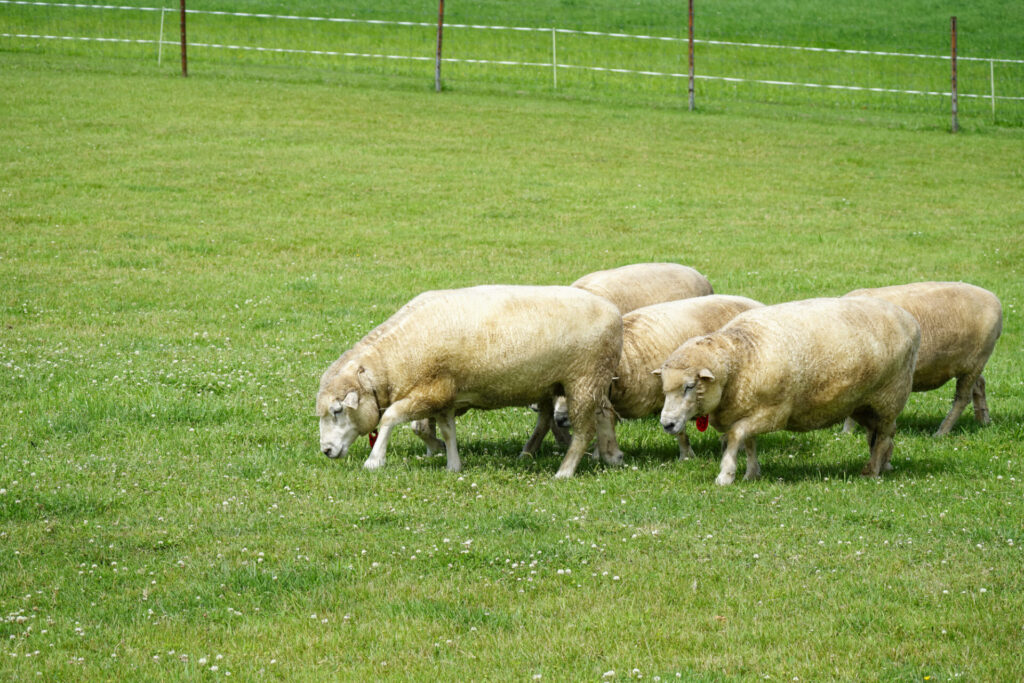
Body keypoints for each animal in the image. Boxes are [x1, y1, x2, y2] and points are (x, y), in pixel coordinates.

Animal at [317, 286, 622, 479]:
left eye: (337, 410)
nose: (326, 451)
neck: (393, 361)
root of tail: (614, 311)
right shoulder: (443, 395)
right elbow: (447, 430)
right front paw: (453, 465)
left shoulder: (429, 391)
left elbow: (389, 417)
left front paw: (374, 461)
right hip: (590, 380)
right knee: (604, 415)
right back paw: (610, 455)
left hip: (583, 379)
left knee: (584, 431)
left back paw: (565, 471)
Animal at [655, 299, 921, 485]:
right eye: (664, 388)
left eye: (690, 386)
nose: (667, 424)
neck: (740, 357)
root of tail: (909, 319)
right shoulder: (748, 408)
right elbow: (749, 442)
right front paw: (752, 473)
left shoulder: (773, 412)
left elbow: (735, 436)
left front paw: (726, 475)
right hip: (862, 404)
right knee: (881, 435)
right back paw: (884, 465)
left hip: (889, 396)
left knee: (883, 435)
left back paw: (871, 471)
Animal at [843, 282, 1003, 438]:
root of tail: (992, 297)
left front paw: (846, 433)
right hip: (969, 363)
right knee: (980, 384)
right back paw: (983, 421)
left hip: (976, 361)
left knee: (962, 398)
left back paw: (942, 432)